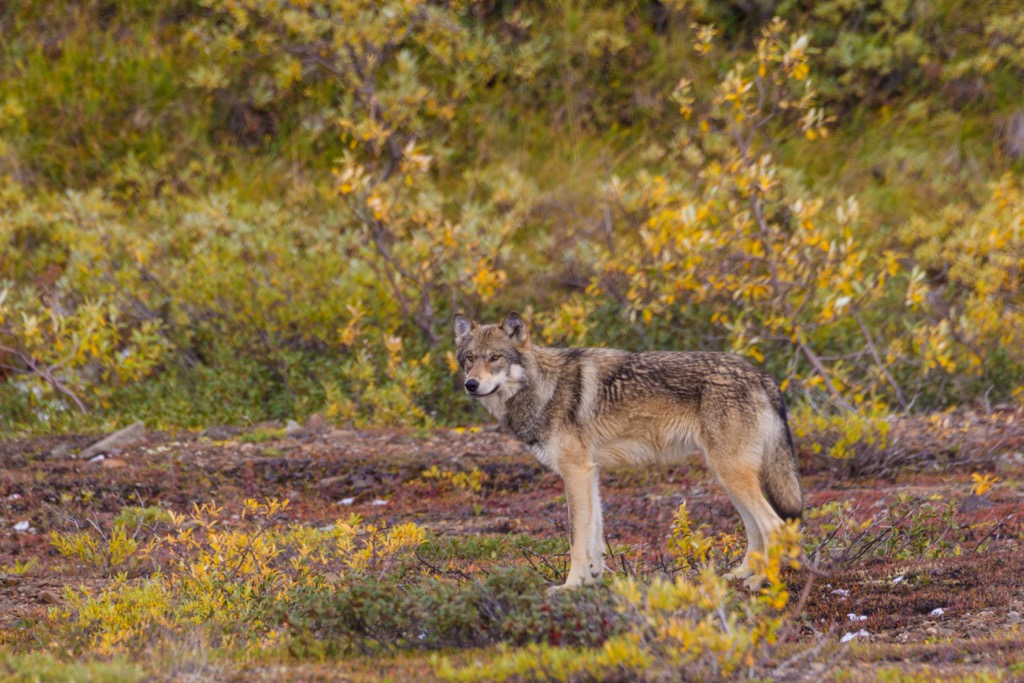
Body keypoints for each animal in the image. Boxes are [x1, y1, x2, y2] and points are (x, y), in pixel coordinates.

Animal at [454, 313, 798, 589]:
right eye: (469, 358)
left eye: (495, 357)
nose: (471, 384)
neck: (544, 388)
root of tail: (763, 376)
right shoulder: (589, 474)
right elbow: (593, 536)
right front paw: (592, 579)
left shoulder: (575, 472)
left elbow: (576, 539)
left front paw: (569, 586)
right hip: (726, 475)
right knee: (755, 529)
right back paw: (742, 574)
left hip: (731, 474)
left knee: (775, 526)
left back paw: (761, 581)